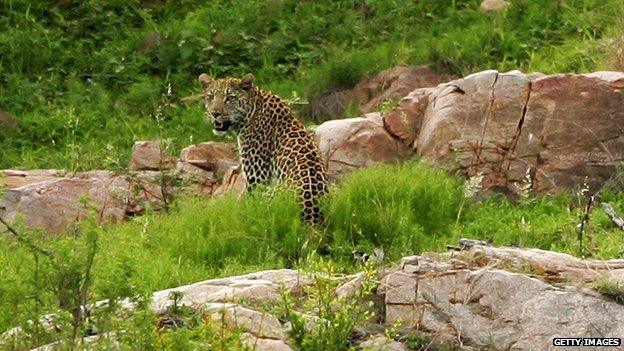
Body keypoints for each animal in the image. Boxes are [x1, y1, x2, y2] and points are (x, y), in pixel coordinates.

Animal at [200, 73, 330, 226]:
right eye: (210, 97)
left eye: (230, 98)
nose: (215, 113)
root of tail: (313, 216)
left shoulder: (257, 178)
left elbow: (247, 204)